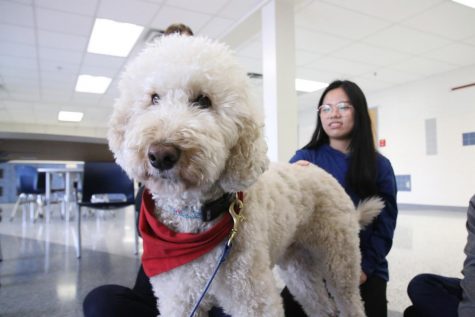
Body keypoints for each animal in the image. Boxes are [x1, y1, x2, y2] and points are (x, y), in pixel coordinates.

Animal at [108, 34, 384, 316]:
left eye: (203, 100)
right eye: (153, 98)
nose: (161, 154)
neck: (196, 219)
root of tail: (325, 174)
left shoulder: (252, 296)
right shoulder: (179, 299)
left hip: (340, 258)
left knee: (349, 300)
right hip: (298, 265)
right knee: (320, 304)